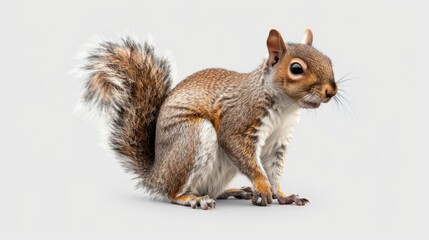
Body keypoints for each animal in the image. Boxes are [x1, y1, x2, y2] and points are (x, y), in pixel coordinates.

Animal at [78, 28, 336, 210]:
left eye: (329, 60)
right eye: (296, 68)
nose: (331, 91)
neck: (285, 107)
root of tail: (156, 175)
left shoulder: (278, 141)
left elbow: (274, 170)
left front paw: (283, 195)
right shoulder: (239, 119)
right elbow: (242, 152)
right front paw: (262, 187)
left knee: (210, 189)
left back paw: (233, 191)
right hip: (193, 137)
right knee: (173, 193)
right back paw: (193, 199)